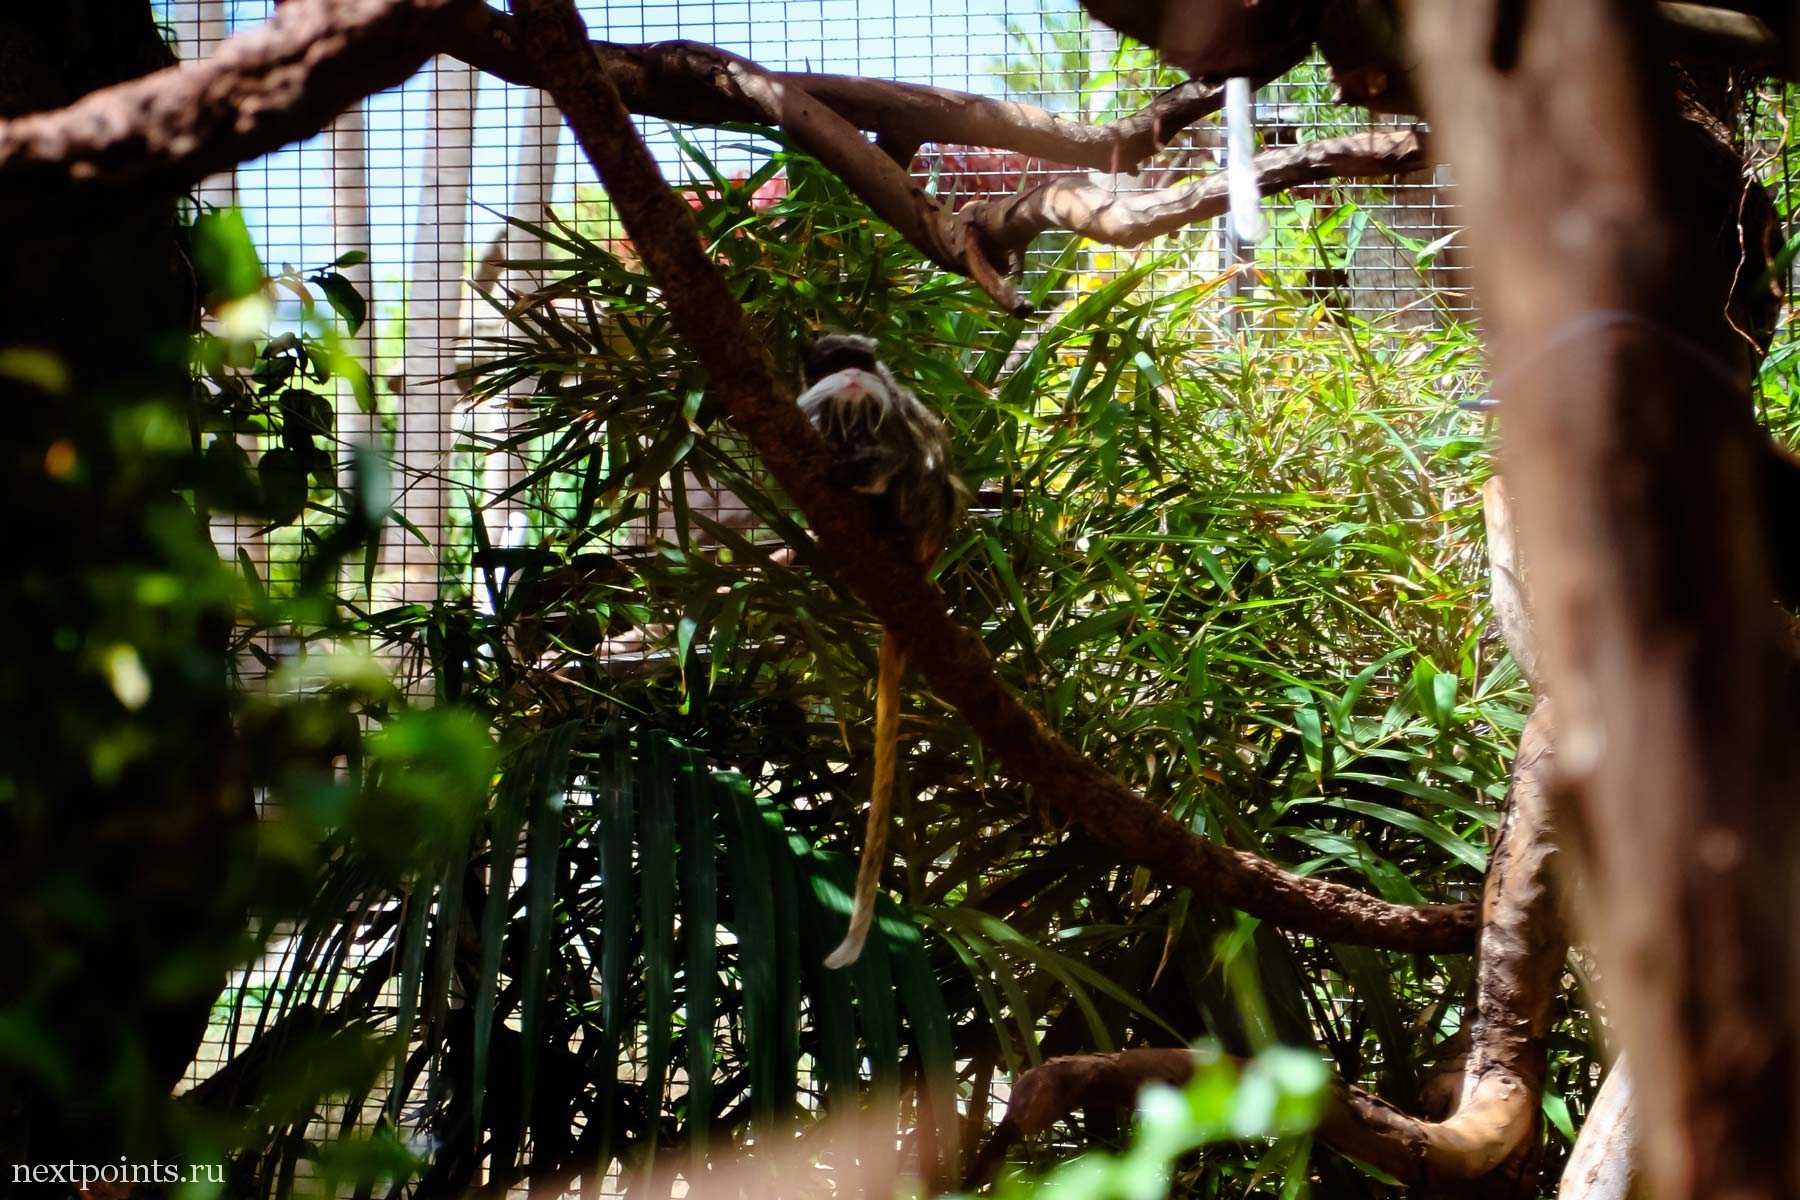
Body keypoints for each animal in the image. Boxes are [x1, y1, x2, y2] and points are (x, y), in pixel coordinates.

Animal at [798, 333, 966, 969]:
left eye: (858, 362)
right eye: (837, 362)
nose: (851, 377)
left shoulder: (887, 413)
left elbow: (899, 457)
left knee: (918, 467)